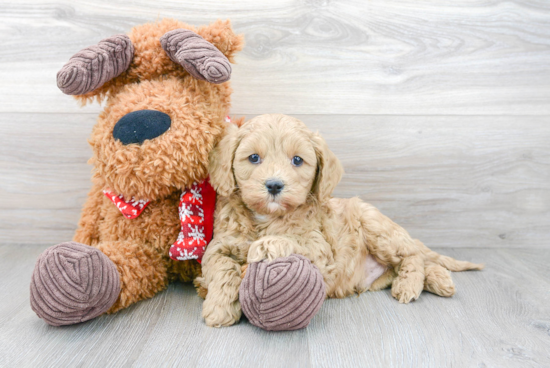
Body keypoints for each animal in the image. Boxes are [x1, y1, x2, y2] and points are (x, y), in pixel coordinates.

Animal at [198, 114, 484, 328]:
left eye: (297, 160)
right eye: (254, 158)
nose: (274, 185)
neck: (266, 217)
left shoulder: (319, 249)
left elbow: (289, 241)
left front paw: (266, 245)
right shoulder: (219, 245)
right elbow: (222, 268)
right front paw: (219, 308)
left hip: (377, 228)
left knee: (413, 255)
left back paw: (410, 284)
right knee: (423, 260)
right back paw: (438, 280)